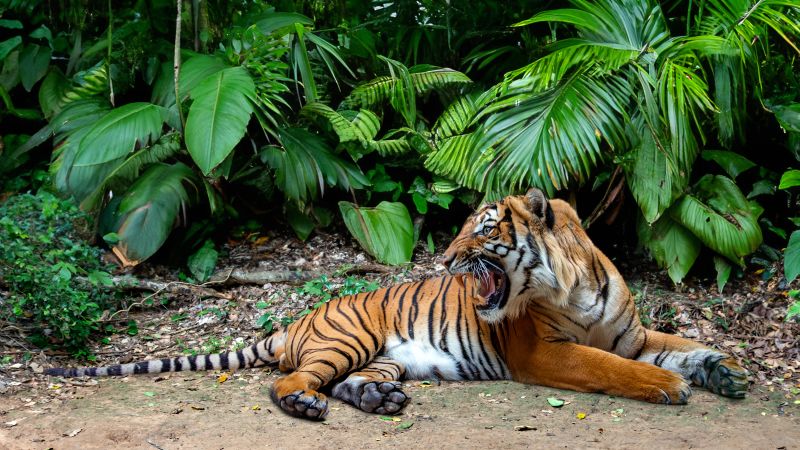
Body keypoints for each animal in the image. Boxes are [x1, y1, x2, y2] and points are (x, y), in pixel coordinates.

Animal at [45, 188, 748, 420]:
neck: (570, 281)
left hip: (382, 357)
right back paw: (305, 405)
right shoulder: (546, 355)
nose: (446, 259)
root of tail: (293, 321)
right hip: (346, 338)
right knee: (287, 383)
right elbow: (613, 368)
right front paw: (669, 387)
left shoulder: (631, 334)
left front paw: (724, 371)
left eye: (482, 230)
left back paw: (378, 399)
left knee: (344, 383)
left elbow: (681, 346)